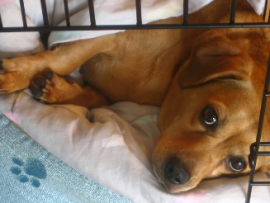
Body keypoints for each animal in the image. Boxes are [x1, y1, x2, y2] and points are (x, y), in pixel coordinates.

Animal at [0, 0, 270, 193]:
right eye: (210, 115)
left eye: (238, 165)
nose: (177, 176)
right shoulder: (107, 30)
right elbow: (65, 59)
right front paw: (18, 74)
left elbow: (100, 98)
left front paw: (61, 91)